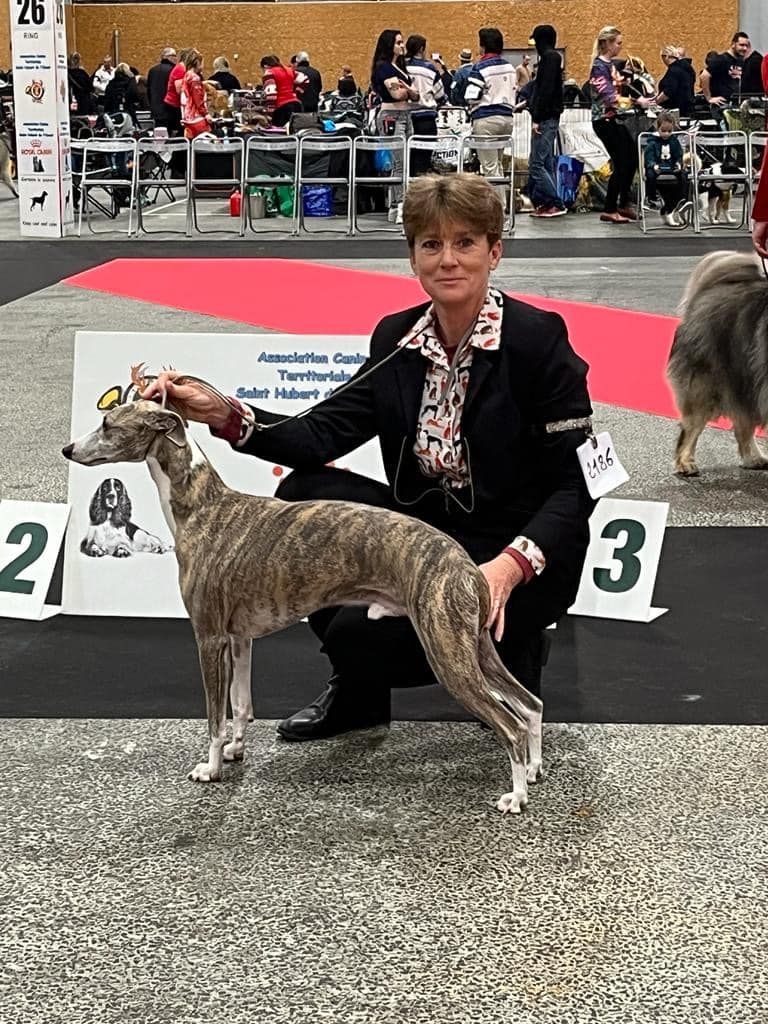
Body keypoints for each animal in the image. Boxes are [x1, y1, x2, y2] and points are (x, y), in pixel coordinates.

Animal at [63, 400, 543, 814]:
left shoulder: (209, 637)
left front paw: (211, 768)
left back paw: (516, 795)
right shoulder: (238, 639)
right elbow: (241, 705)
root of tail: (464, 562)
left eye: (108, 425)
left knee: (511, 723)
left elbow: (215, 716)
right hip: (474, 646)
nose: (68, 449)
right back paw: (535, 769)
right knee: (531, 705)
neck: (203, 508)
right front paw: (236, 749)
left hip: (447, 653)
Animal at [667, 250, 768, 476]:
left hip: (744, 381)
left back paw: (754, 458)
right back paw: (685, 463)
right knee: (690, 428)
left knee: (743, 426)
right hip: (706, 386)